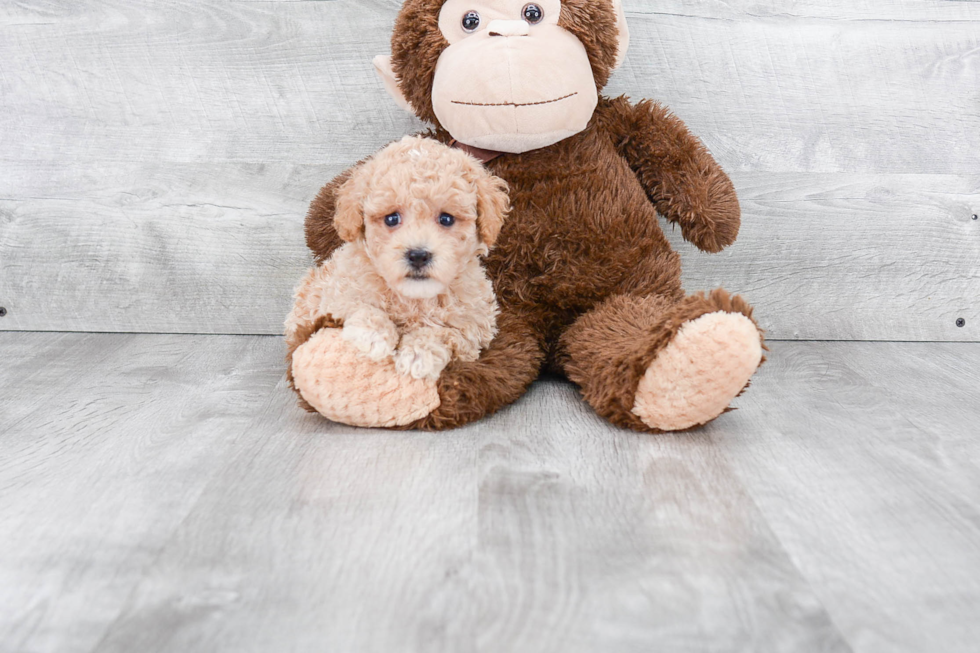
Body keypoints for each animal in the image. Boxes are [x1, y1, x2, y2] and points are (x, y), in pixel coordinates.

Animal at [284, 136, 510, 382]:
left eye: (447, 219)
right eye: (391, 219)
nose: (418, 255)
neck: (413, 298)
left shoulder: (475, 327)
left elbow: (445, 332)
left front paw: (419, 353)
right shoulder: (336, 293)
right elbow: (357, 305)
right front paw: (373, 333)